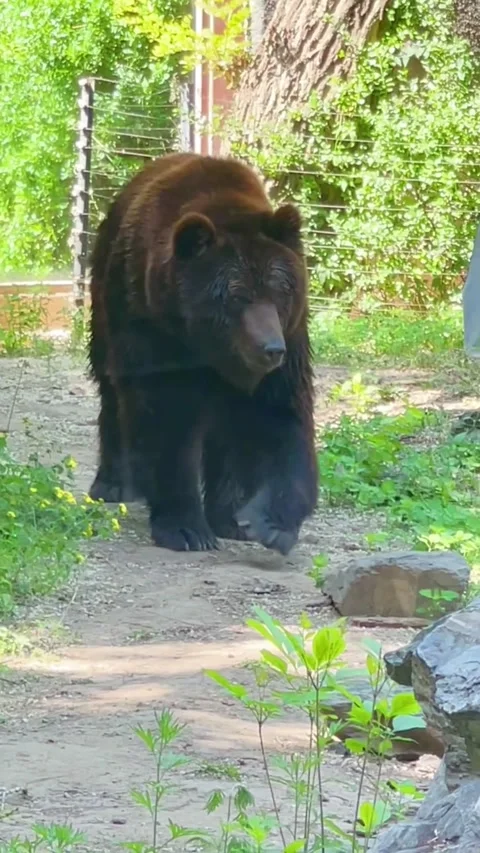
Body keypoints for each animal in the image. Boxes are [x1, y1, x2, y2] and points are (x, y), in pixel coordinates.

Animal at [88, 152, 318, 556]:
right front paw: (185, 528)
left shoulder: (290, 341)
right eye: (237, 295)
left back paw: (226, 514)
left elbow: (281, 416)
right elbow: (166, 418)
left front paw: (267, 522)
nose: (270, 349)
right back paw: (113, 483)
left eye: (280, 290)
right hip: (106, 297)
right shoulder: (156, 332)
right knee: (111, 389)